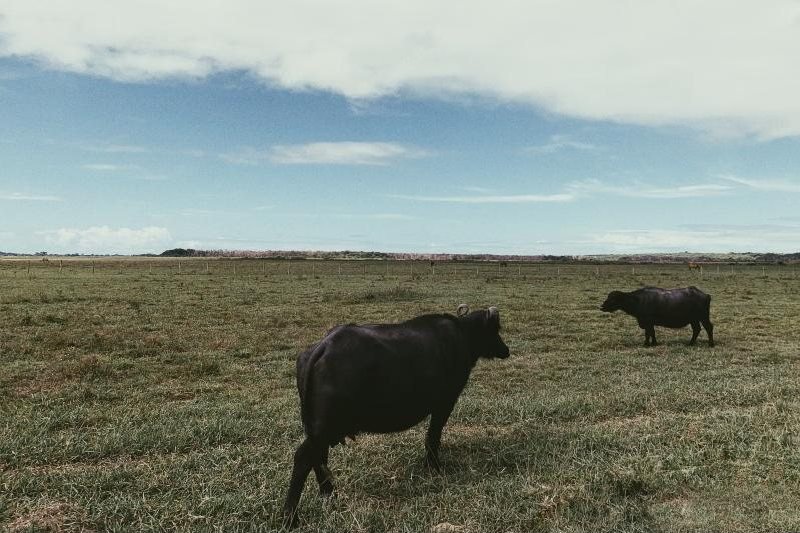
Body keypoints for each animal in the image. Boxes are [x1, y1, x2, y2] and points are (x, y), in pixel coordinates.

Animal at [282, 304, 510, 528]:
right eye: (496, 329)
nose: (506, 350)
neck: (461, 334)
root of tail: (324, 346)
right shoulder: (445, 403)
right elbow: (433, 436)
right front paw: (434, 466)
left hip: (318, 430)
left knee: (318, 458)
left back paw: (328, 494)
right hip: (324, 428)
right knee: (303, 459)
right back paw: (291, 517)